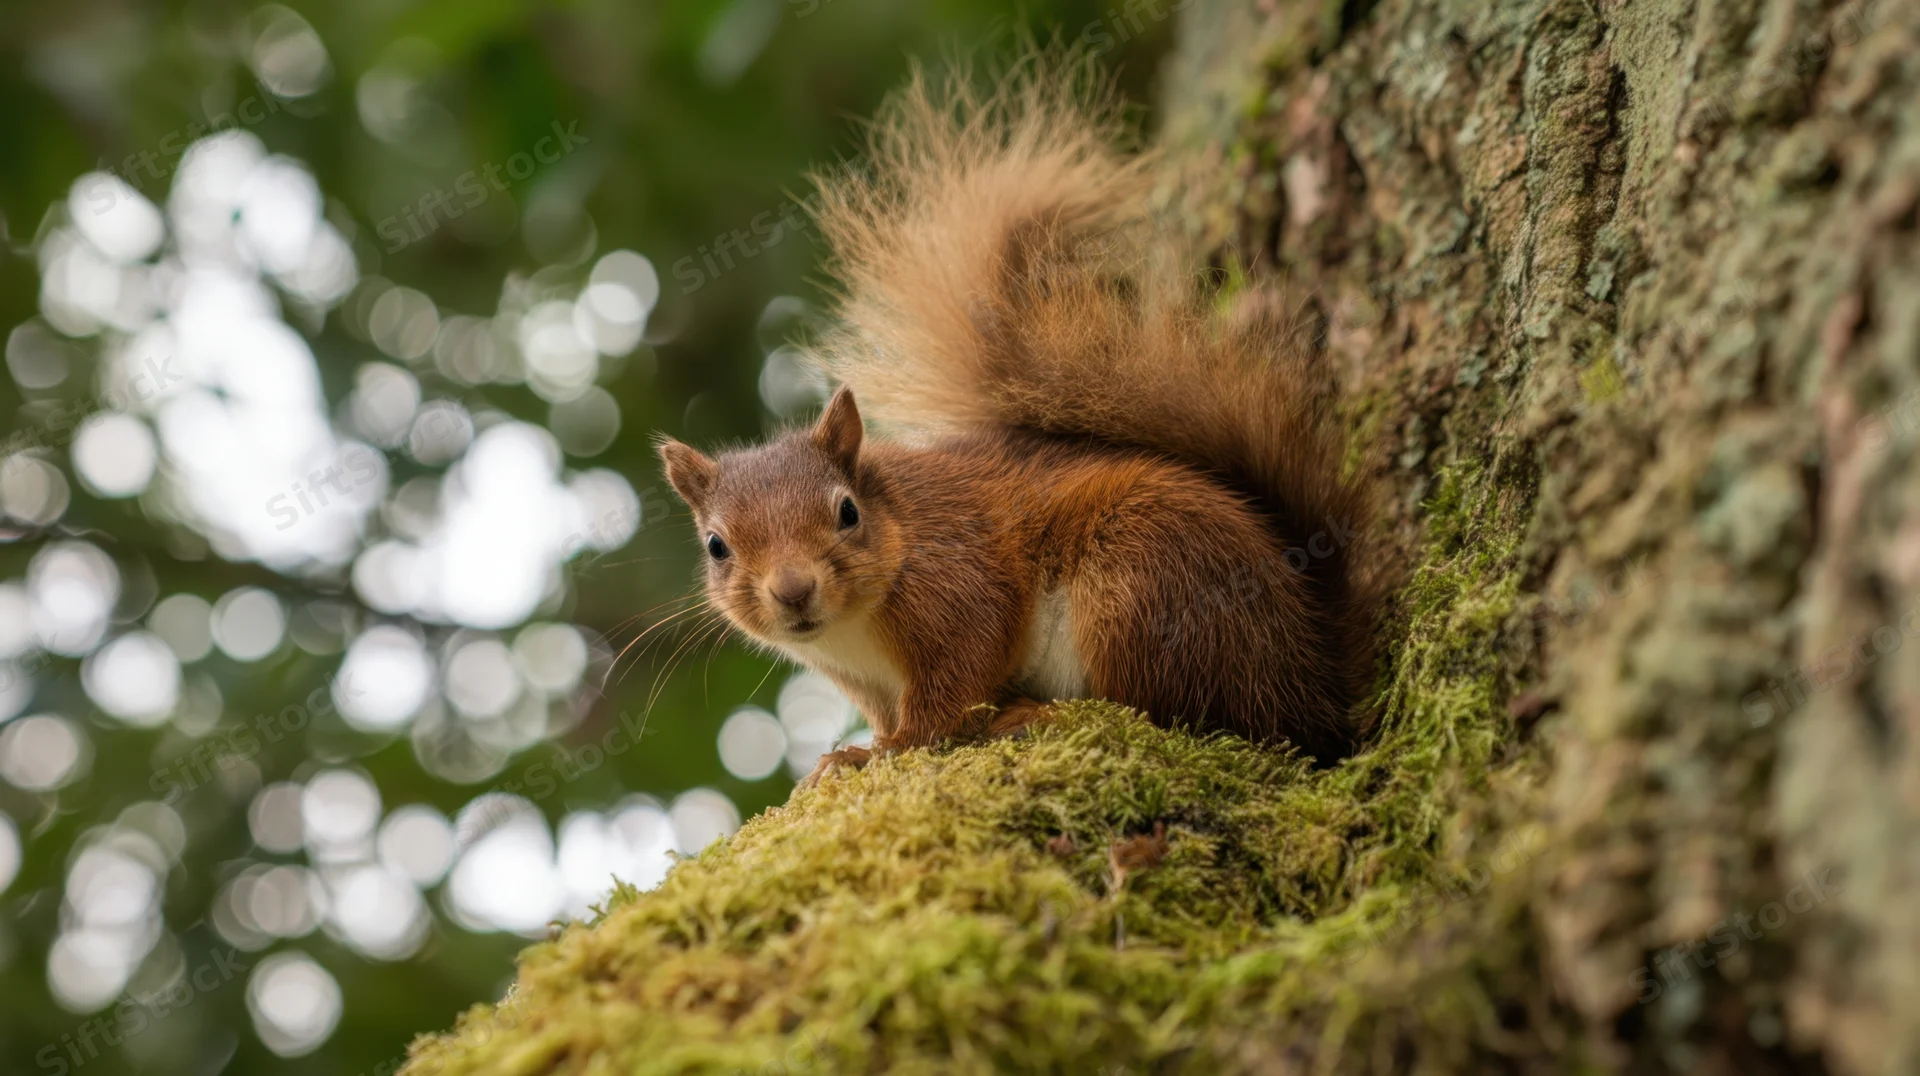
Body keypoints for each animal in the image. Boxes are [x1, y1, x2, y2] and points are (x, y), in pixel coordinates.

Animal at [657, 59, 1382, 781]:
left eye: (847, 512)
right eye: (716, 546)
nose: (793, 590)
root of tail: (1311, 676)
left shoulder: (959, 586)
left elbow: (952, 685)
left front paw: (883, 749)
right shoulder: (860, 678)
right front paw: (851, 751)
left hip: (1140, 579)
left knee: (1171, 712)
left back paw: (1043, 714)